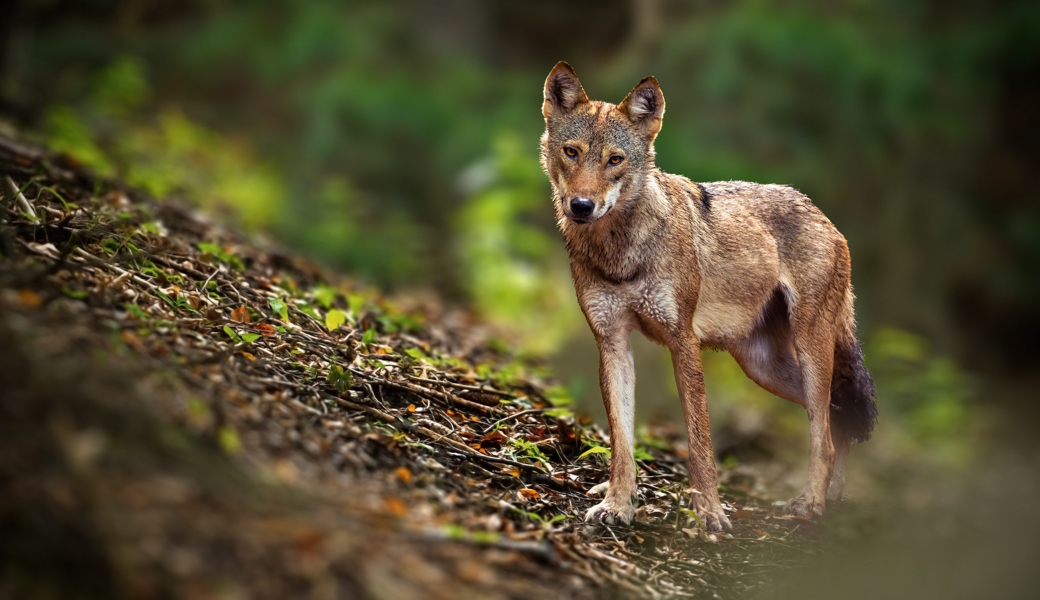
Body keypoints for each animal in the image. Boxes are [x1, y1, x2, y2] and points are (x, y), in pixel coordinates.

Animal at [544, 60, 877, 528]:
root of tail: (823, 215)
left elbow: (700, 441)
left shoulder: (683, 341)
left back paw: (810, 503)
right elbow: (622, 442)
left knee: (825, 432)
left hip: (809, 350)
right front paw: (616, 504)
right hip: (762, 367)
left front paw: (710, 515)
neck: (620, 252)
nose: (581, 206)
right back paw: (831, 501)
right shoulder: (612, 343)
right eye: (571, 152)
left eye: (615, 160)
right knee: (835, 418)